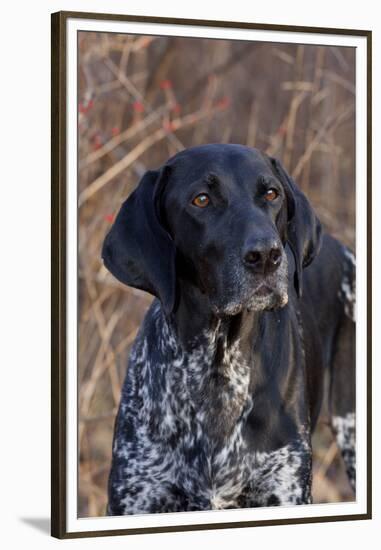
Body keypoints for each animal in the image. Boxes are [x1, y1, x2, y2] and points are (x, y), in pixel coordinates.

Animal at [101, 144, 354, 516]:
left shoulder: (284, 489)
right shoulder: (136, 498)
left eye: (271, 194)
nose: (266, 255)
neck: (216, 369)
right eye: (202, 199)